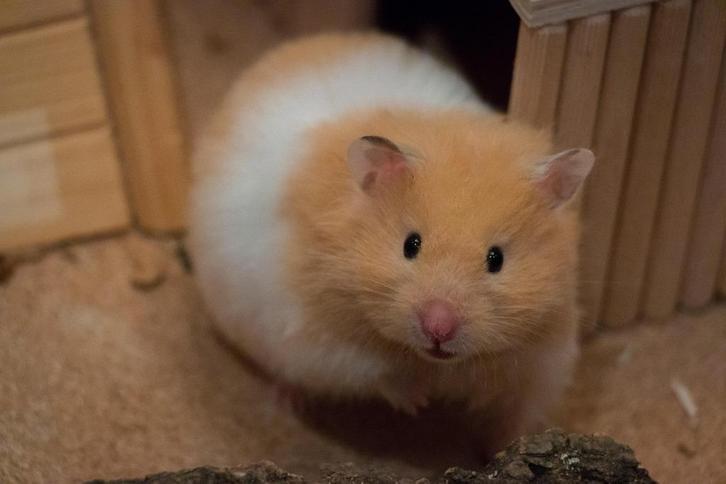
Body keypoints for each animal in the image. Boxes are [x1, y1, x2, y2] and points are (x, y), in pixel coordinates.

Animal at [188, 33, 594, 451]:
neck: (435, 361)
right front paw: (419, 402)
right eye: (410, 245)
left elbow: (517, 414)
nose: (439, 328)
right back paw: (288, 401)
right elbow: (375, 372)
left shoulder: (543, 359)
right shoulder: (318, 342)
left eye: (496, 259)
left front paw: (505, 445)